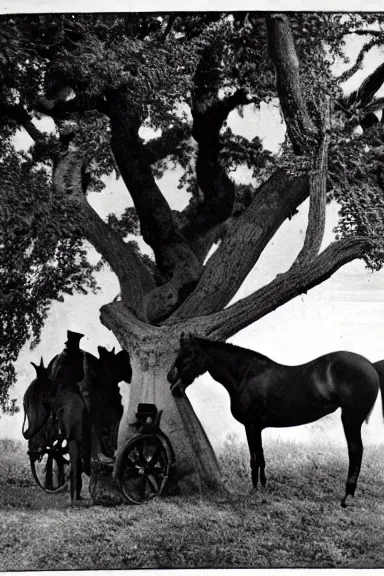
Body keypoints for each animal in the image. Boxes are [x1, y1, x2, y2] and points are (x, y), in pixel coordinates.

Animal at [168, 336, 380, 506]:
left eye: (189, 354)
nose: (171, 380)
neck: (245, 376)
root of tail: (370, 365)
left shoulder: (251, 426)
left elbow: (254, 458)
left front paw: (254, 490)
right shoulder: (258, 428)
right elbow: (261, 457)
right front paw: (263, 486)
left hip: (350, 418)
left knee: (355, 450)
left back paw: (348, 495)